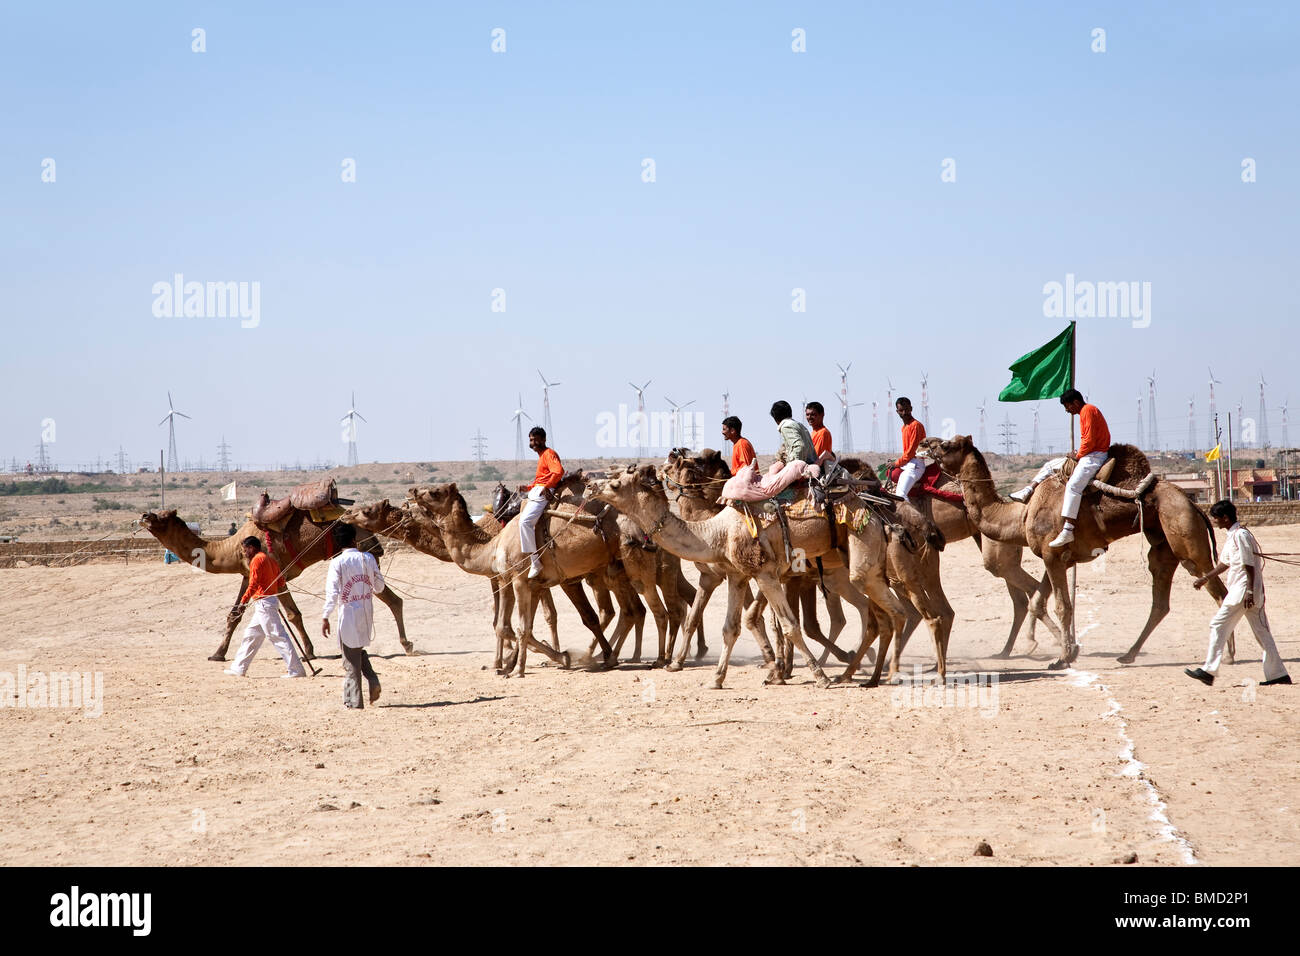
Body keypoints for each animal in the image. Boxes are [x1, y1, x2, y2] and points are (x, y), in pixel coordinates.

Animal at [139, 512, 408, 660]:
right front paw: (217, 654)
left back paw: (406, 645)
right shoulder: (248, 575)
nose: (144, 516)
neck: (230, 549)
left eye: (163, 516)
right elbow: (235, 615)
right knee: (391, 599)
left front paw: (309, 651)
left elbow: (293, 614)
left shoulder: (277, 575)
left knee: (392, 599)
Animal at [930, 437, 1222, 671]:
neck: (1021, 516)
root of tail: (1193, 503)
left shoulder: (1052, 556)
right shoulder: (1059, 558)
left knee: (1215, 586)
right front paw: (1064, 650)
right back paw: (1128, 655)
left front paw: (1062, 657)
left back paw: (1224, 657)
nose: (927, 446)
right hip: (1163, 545)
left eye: (947, 445)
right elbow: (1039, 602)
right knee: (1161, 601)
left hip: (1184, 531)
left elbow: (1062, 606)